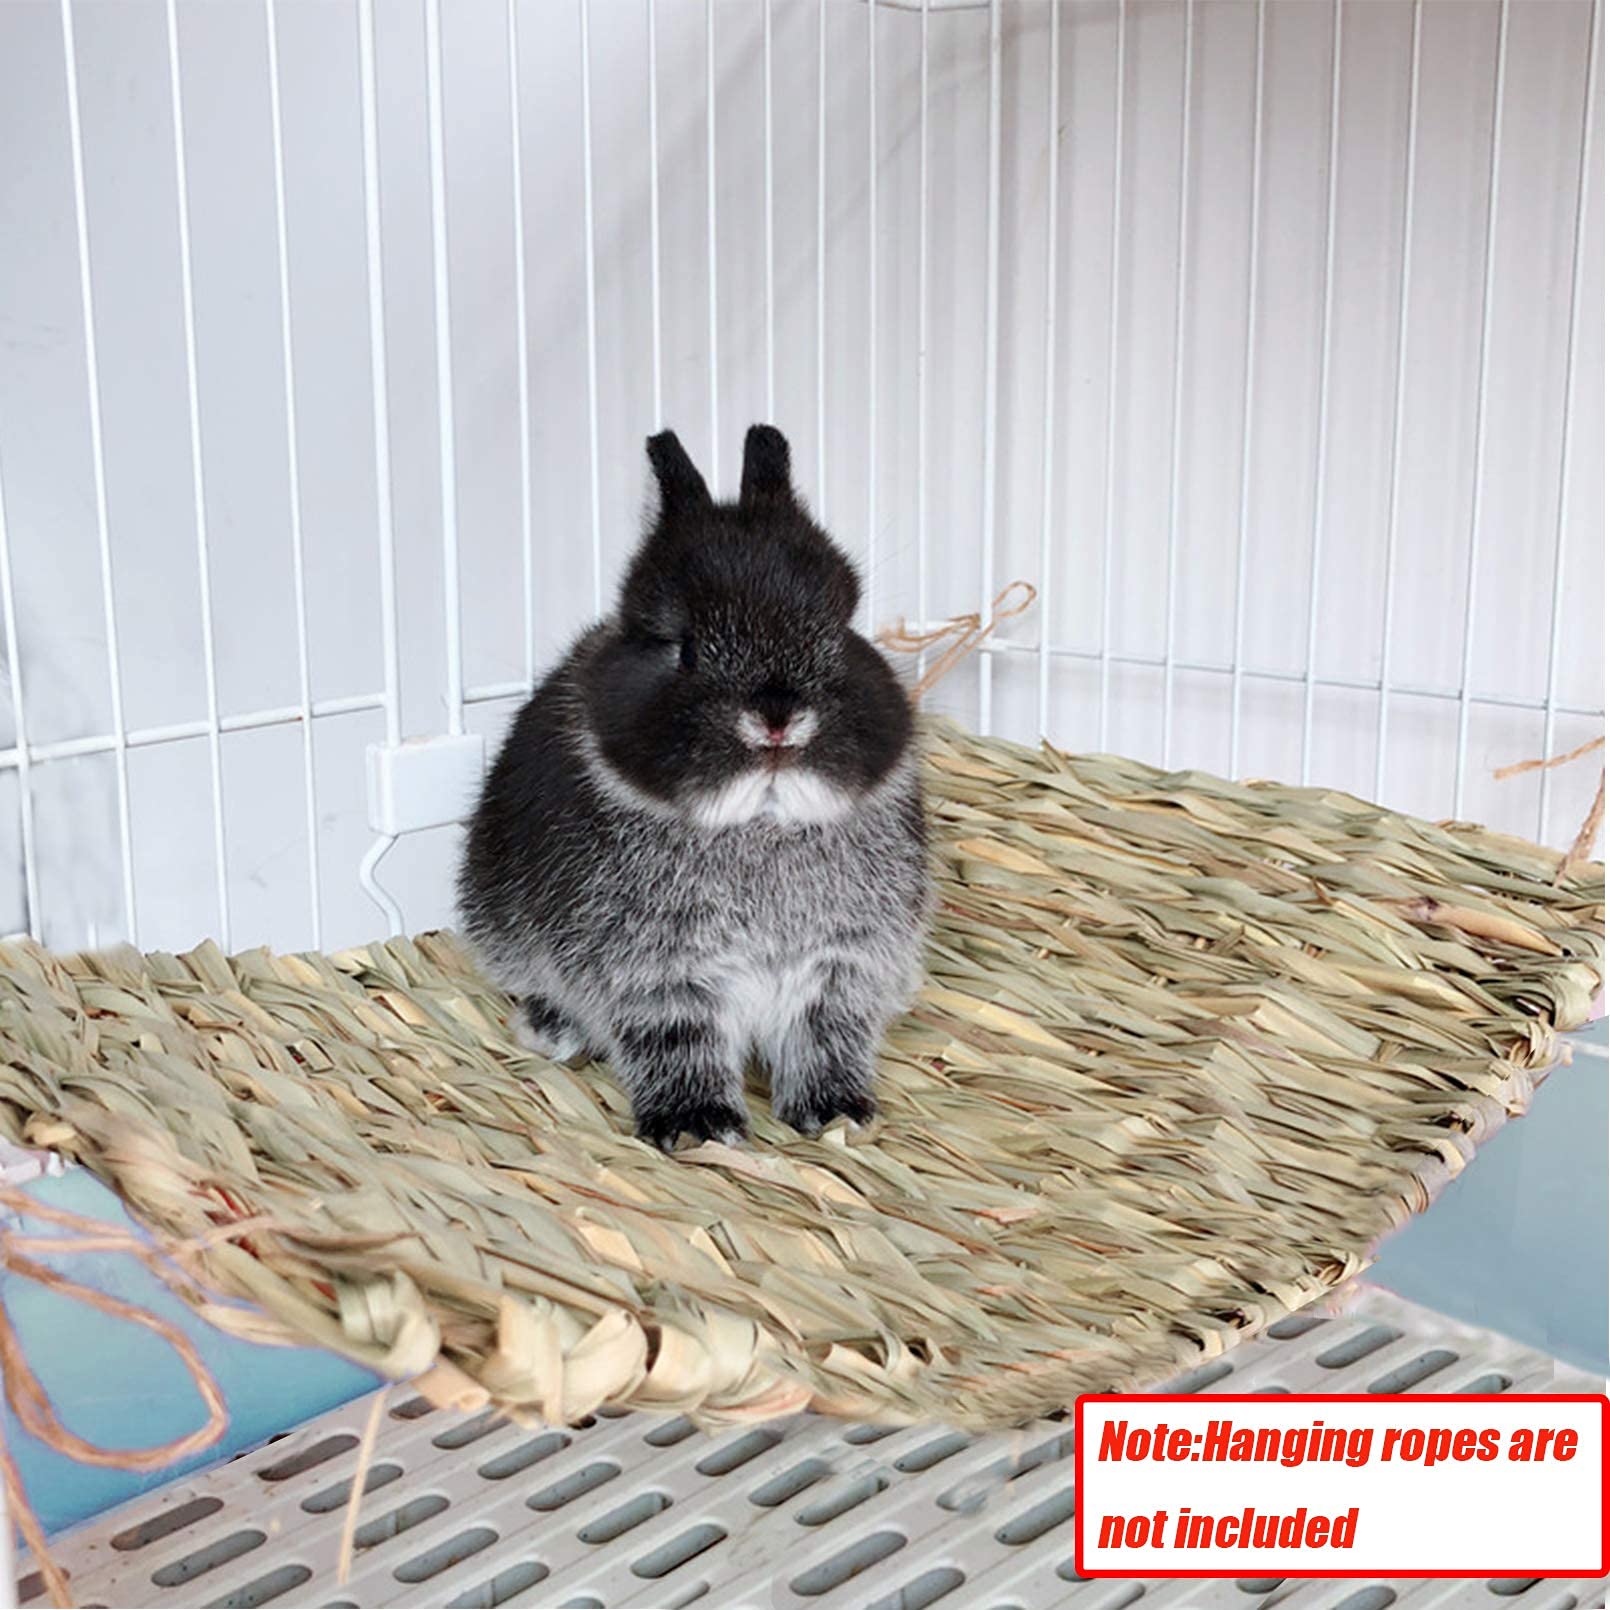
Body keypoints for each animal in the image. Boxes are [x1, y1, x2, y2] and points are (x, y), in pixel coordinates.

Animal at [457, 423, 930, 1151]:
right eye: (683, 648)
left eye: (840, 630)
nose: (776, 718)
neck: (761, 824)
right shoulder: (660, 977)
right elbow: (680, 1044)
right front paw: (697, 1128)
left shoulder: (840, 969)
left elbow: (826, 1039)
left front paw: (835, 1113)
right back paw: (554, 1029)